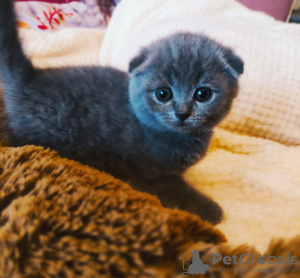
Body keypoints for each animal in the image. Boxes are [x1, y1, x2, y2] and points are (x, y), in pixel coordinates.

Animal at [0, 0, 244, 224]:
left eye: (203, 94)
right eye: (163, 94)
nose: (182, 112)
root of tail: (30, 78)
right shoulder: (150, 177)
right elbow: (181, 193)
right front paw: (212, 211)